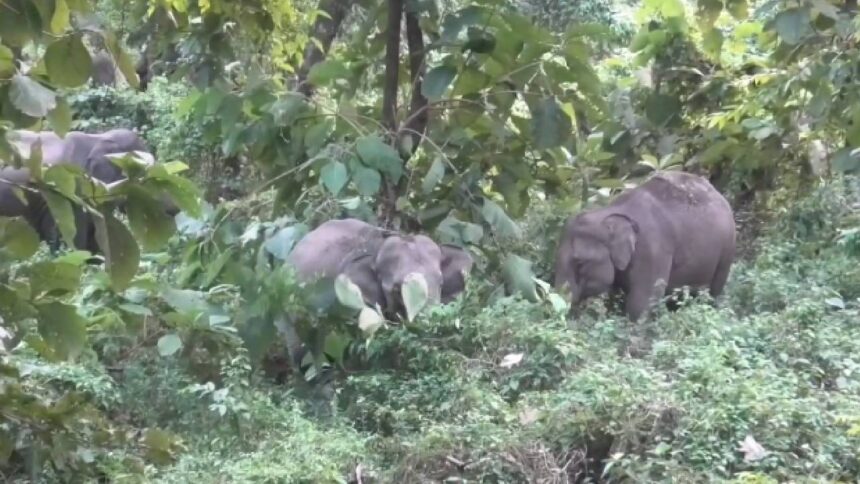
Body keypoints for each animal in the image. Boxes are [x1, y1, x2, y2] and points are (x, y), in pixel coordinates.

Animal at [554, 171, 736, 321]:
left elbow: (642, 301)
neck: (608, 214)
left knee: (715, 290)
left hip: (727, 249)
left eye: (579, 263)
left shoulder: (652, 250)